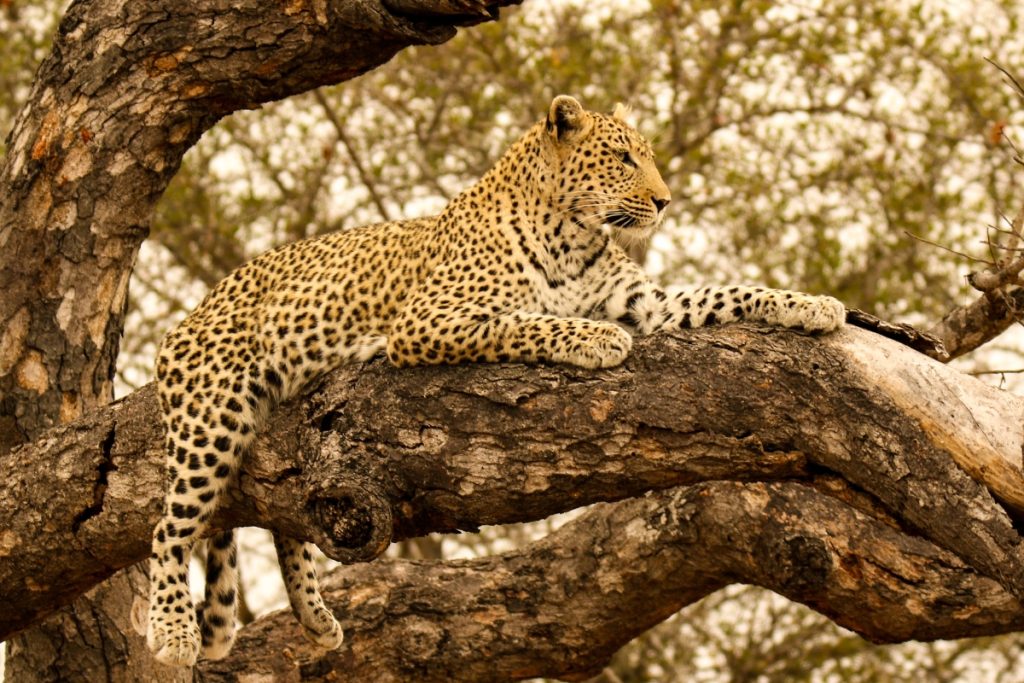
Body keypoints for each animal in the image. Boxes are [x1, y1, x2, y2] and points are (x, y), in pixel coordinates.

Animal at [146, 95, 846, 667]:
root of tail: (188, 318)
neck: (573, 234)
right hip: (214, 414)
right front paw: (596, 338)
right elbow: (523, 320)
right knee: (170, 526)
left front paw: (810, 304)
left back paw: (317, 620)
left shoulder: (650, 304)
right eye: (623, 158)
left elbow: (728, 291)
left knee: (285, 513)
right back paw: (173, 630)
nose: (665, 201)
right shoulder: (429, 319)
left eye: (645, 158)